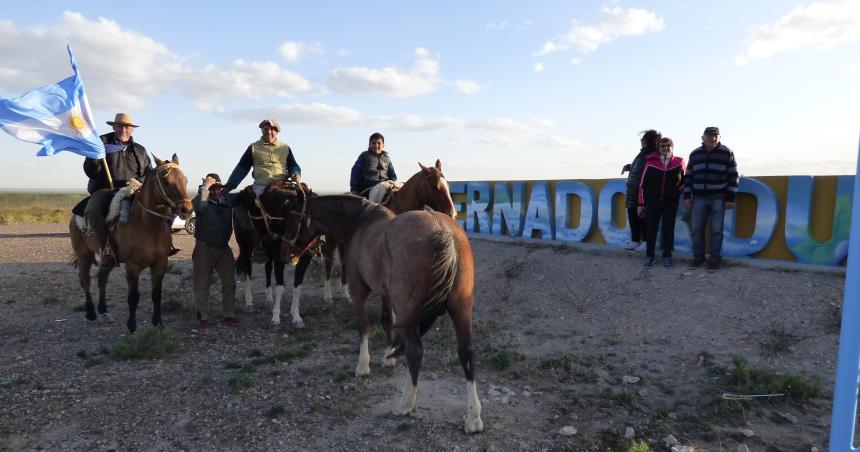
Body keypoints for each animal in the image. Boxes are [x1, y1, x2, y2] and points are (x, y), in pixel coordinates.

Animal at [69, 154, 192, 332]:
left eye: (185, 180)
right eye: (166, 181)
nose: (187, 210)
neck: (148, 225)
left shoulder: (160, 264)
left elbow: (156, 295)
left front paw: (158, 323)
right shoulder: (133, 266)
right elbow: (133, 297)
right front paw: (132, 326)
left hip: (108, 259)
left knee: (101, 279)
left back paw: (103, 311)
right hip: (84, 254)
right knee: (85, 280)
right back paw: (91, 313)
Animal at [282, 195, 484, 434]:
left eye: (292, 222)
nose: (286, 255)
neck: (359, 222)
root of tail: (444, 231)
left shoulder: (359, 291)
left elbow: (363, 327)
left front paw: (363, 366)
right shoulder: (386, 295)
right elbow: (386, 321)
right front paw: (388, 357)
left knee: (416, 351)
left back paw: (405, 404)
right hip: (461, 308)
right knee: (466, 353)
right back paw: (473, 417)